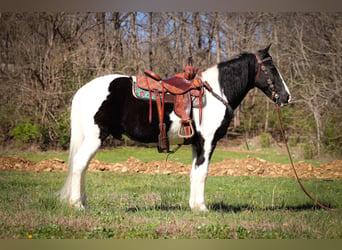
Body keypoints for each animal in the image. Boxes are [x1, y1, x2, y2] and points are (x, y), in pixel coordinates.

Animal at [58, 44, 292, 211]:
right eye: (271, 68)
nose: (287, 97)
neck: (217, 92)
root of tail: (83, 90)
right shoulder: (207, 142)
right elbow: (203, 173)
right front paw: (202, 208)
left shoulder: (196, 144)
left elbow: (194, 173)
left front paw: (194, 206)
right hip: (95, 137)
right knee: (79, 164)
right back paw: (77, 205)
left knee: (83, 166)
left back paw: (82, 203)